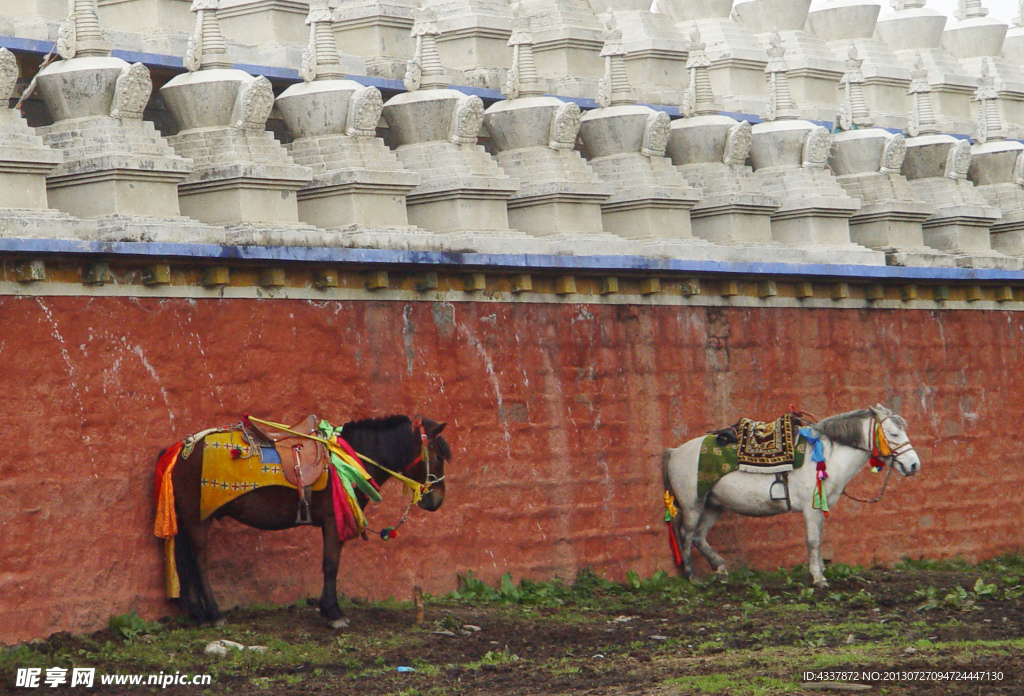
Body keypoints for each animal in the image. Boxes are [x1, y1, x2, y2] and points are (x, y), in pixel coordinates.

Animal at [164, 413, 448, 626]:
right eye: (438, 456)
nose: (437, 501)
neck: (352, 456)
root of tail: (180, 449)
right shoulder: (334, 521)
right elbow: (331, 565)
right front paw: (333, 612)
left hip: (188, 520)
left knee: (184, 561)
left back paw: (198, 614)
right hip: (199, 518)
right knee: (198, 562)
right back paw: (213, 613)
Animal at [663, 405, 921, 589]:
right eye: (893, 433)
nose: (914, 465)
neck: (825, 456)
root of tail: (674, 452)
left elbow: (819, 540)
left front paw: (820, 571)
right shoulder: (811, 508)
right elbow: (813, 541)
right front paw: (818, 578)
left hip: (713, 505)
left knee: (699, 536)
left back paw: (721, 569)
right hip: (693, 505)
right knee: (686, 535)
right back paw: (693, 576)